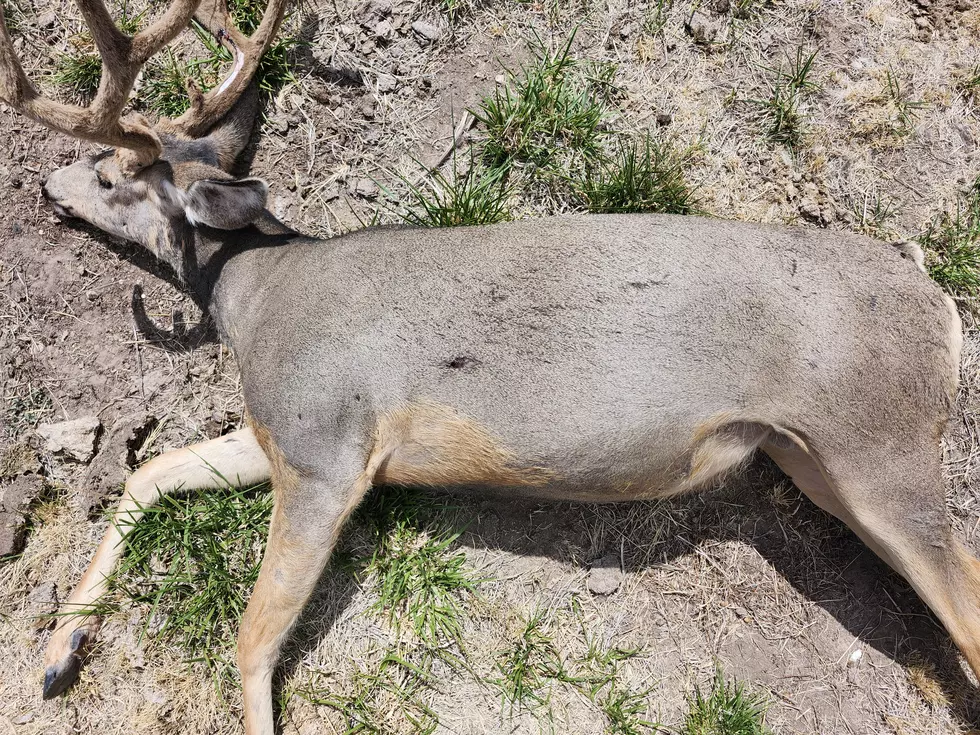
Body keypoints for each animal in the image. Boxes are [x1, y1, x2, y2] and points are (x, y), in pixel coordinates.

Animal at [2, 2, 978, 733]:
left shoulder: (326, 442)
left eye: (111, 171)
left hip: (878, 442)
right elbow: (150, 472)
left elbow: (253, 636)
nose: (48, 185)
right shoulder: (279, 429)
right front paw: (55, 656)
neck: (256, 296)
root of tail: (942, 306)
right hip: (810, 457)